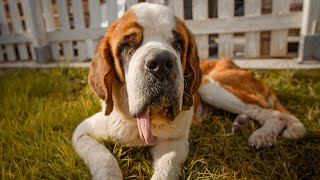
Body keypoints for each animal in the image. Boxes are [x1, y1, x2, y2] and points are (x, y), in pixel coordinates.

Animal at [72, 2, 304, 179]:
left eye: (177, 43)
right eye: (127, 44)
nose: (161, 62)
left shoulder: (175, 144)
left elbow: (167, 166)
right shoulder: (83, 132)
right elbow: (104, 158)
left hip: (211, 86)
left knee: (271, 113)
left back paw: (262, 135)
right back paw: (241, 122)